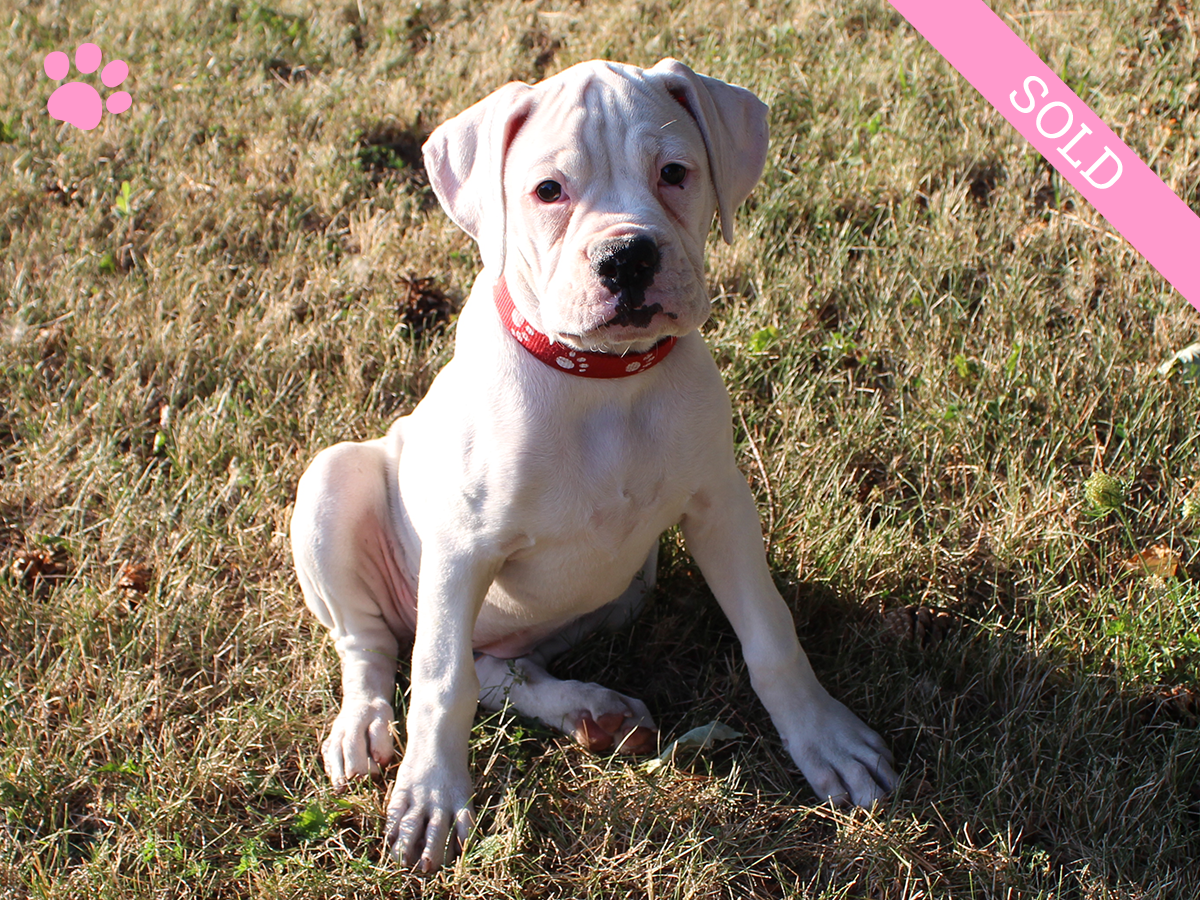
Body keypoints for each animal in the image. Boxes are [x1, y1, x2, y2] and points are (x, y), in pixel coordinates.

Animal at [288, 56, 892, 873]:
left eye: (675, 173)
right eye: (549, 191)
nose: (628, 256)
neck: (604, 378)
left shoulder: (720, 505)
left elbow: (770, 633)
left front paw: (824, 737)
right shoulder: (459, 546)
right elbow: (439, 680)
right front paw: (431, 797)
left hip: (623, 591)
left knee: (495, 670)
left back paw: (590, 708)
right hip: (333, 483)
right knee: (381, 648)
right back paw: (365, 724)